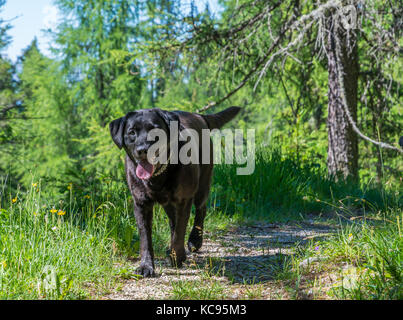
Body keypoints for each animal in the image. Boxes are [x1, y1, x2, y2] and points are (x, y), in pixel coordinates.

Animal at [109, 106, 240, 276]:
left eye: (155, 131)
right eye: (131, 132)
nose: (142, 150)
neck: (158, 176)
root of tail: (199, 116)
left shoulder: (184, 200)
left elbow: (179, 231)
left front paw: (177, 257)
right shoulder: (141, 203)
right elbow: (145, 238)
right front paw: (146, 265)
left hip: (202, 184)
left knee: (200, 210)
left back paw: (194, 240)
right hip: (168, 203)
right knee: (173, 221)